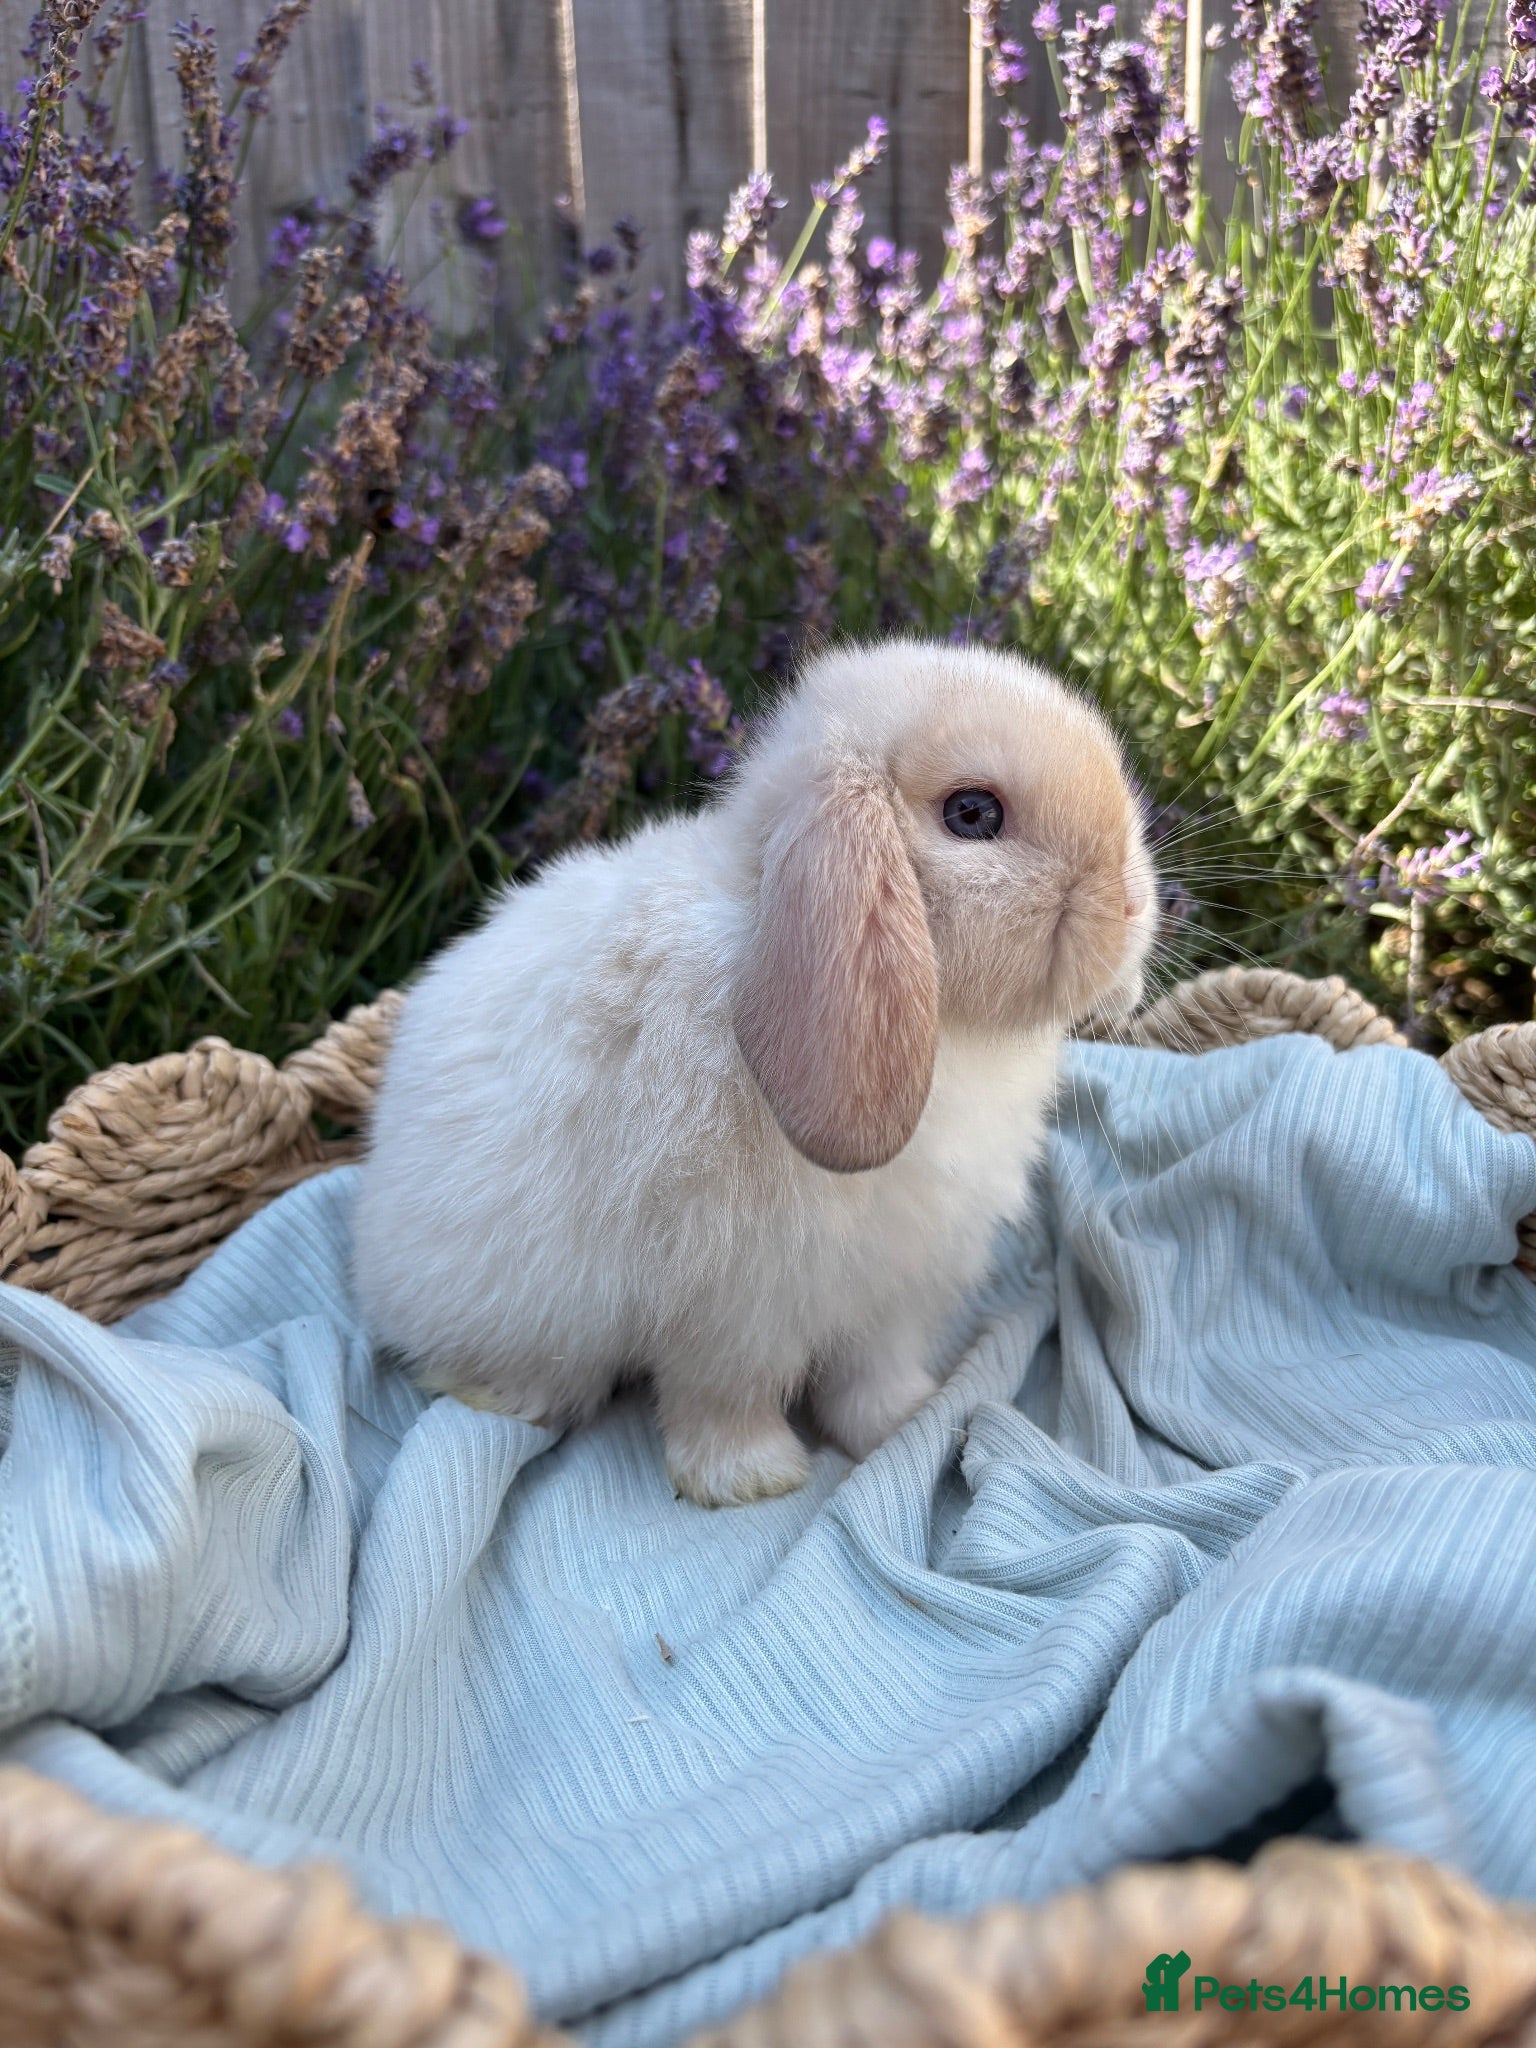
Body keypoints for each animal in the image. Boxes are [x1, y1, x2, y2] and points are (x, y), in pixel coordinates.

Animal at [352, 639, 1157, 1506]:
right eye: (973, 814)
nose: (1134, 908)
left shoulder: (891, 1294)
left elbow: (871, 1376)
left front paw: (904, 1424)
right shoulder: (735, 1304)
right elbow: (725, 1397)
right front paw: (748, 1479)